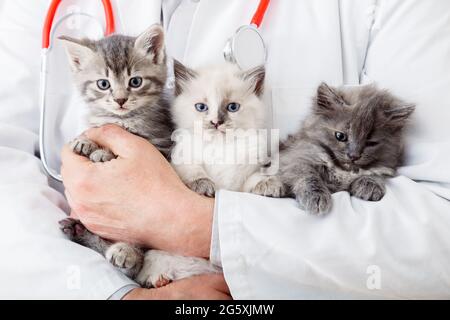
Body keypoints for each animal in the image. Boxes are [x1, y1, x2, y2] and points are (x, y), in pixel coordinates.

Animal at [282, 84, 414, 216]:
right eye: (340, 136)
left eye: (371, 143)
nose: (353, 156)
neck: (343, 171)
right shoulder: (297, 158)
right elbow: (308, 177)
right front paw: (316, 198)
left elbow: (374, 173)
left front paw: (370, 186)